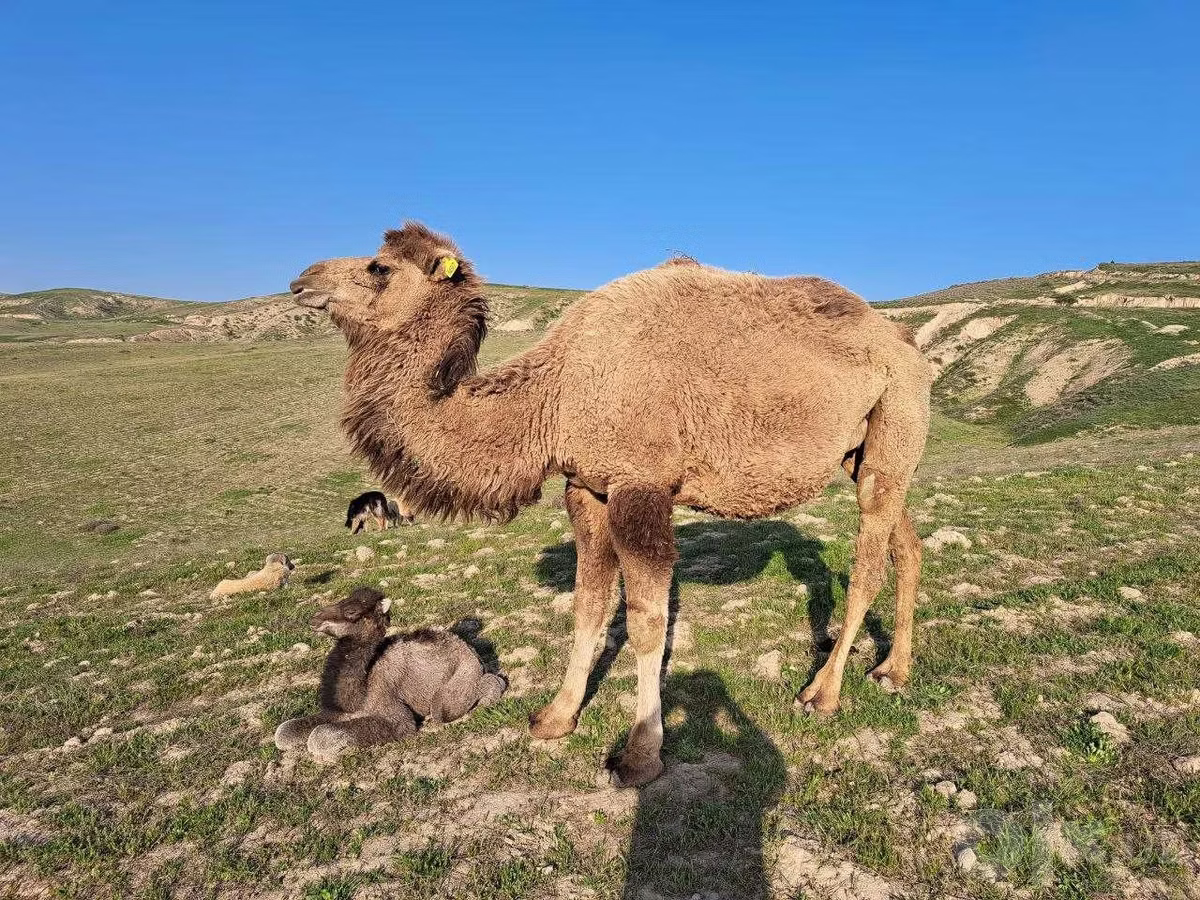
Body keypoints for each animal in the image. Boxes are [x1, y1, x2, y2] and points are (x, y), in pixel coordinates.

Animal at [291, 221, 932, 786]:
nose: (300, 280)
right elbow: (587, 606)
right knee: (907, 544)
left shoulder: (639, 483)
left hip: (893, 421)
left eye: (378, 267)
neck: (552, 395)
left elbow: (648, 621)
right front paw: (554, 718)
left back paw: (822, 692)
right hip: (862, 452)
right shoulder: (587, 487)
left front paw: (640, 756)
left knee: (868, 562)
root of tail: (906, 344)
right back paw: (894, 671)